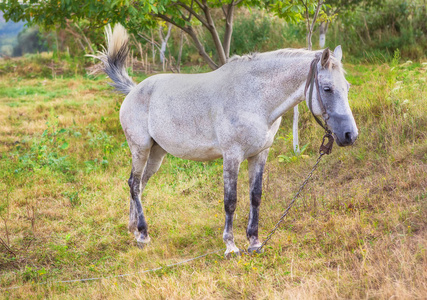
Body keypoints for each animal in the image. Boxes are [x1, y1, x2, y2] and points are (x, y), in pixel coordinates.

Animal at [93, 24, 358, 256]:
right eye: (327, 88)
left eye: (347, 87)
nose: (350, 135)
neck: (254, 97)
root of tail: (133, 90)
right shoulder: (232, 156)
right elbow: (230, 200)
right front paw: (231, 246)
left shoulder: (259, 154)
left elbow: (255, 196)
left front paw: (254, 242)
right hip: (140, 149)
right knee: (134, 184)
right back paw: (143, 234)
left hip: (157, 153)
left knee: (138, 185)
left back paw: (134, 229)